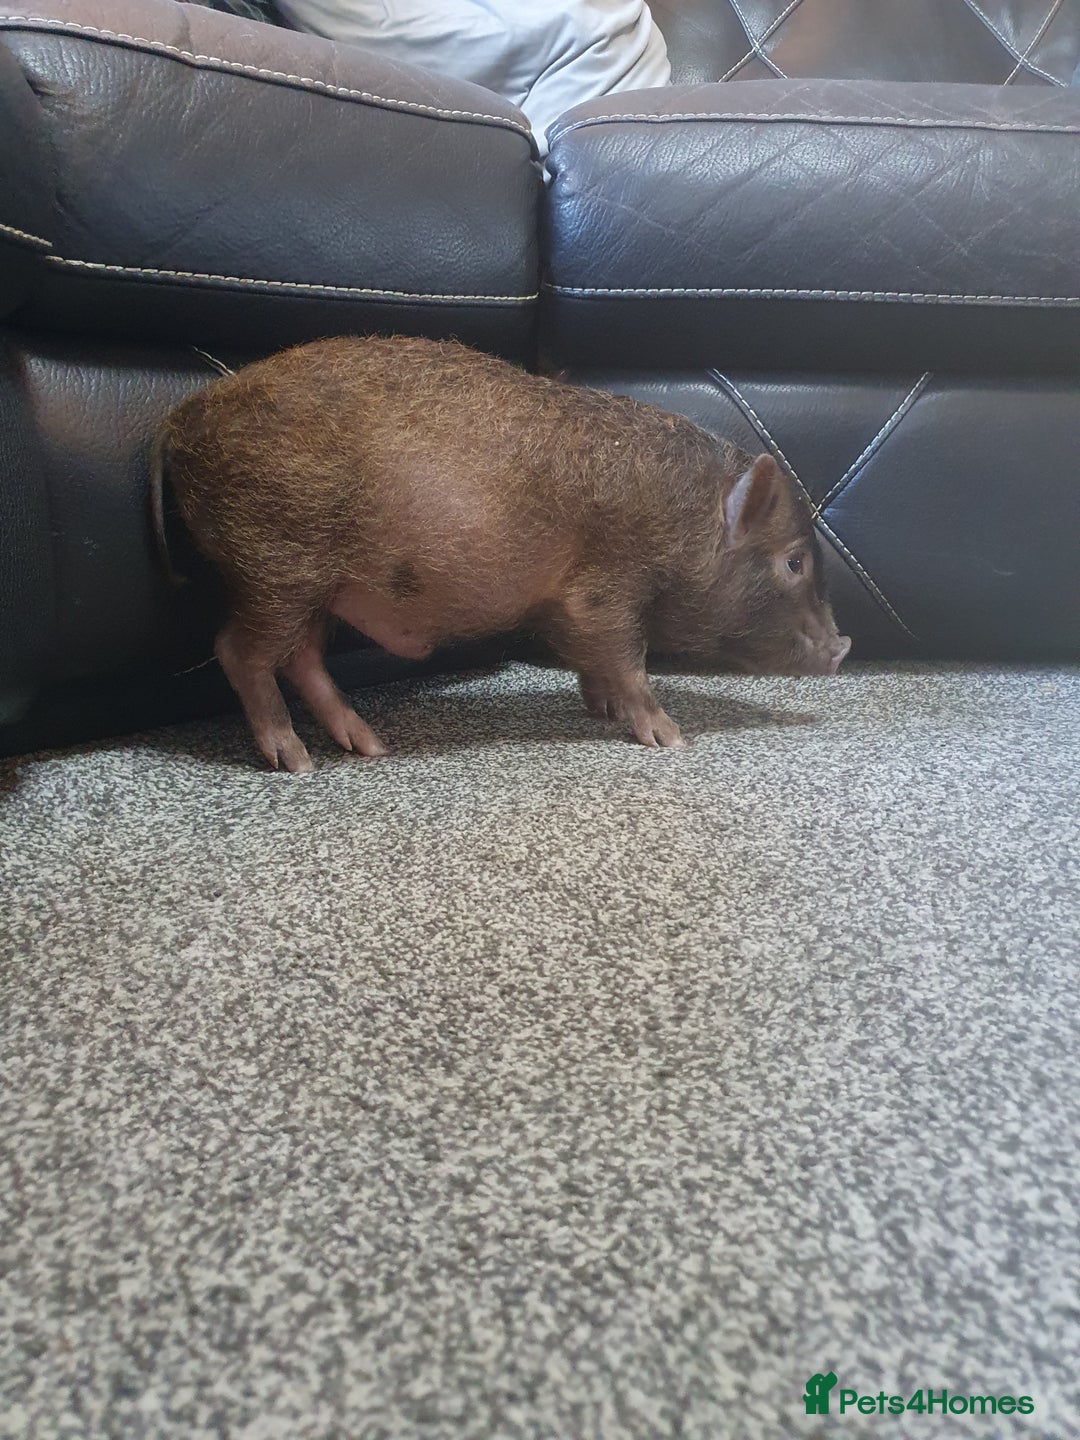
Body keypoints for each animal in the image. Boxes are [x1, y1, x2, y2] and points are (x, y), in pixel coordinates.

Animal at [152, 335, 850, 772]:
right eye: (794, 562)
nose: (843, 646)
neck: (683, 523)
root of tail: (179, 420)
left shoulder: (574, 609)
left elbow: (595, 662)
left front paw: (600, 710)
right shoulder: (605, 590)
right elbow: (628, 658)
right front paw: (670, 738)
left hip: (316, 583)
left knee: (302, 658)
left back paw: (368, 746)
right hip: (277, 560)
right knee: (238, 650)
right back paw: (295, 760)